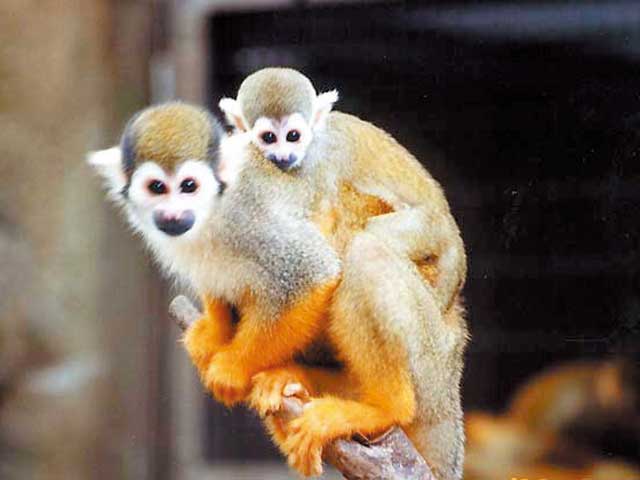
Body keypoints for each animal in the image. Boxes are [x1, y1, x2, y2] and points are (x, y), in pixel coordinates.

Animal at [185, 69, 464, 478]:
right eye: (268, 137)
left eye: (292, 136)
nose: (283, 157)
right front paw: (216, 330)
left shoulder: (305, 173)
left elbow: (310, 266)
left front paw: (234, 365)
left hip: (429, 357)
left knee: (367, 249)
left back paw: (383, 408)